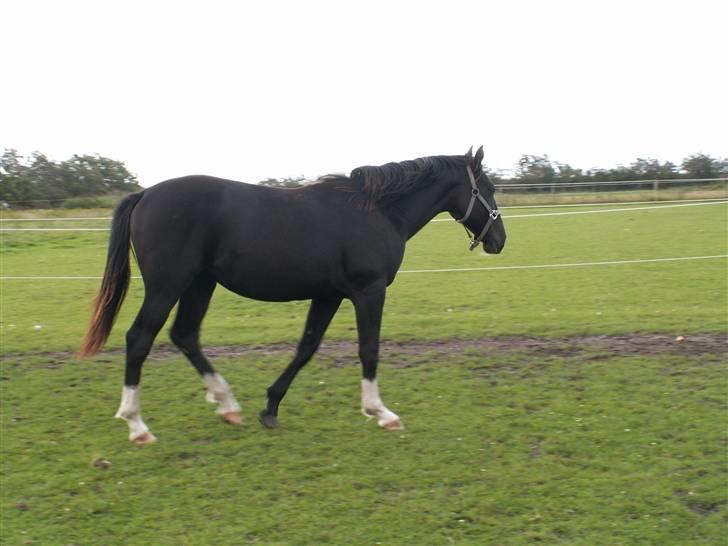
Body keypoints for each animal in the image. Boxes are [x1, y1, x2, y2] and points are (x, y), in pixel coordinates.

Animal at [82, 146, 506, 442]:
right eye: (487, 188)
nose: (499, 241)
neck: (378, 213)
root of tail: (145, 194)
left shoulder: (329, 295)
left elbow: (306, 348)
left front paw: (270, 406)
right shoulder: (368, 292)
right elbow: (369, 350)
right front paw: (381, 412)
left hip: (200, 284)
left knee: (185, 335)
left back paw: (227, 405)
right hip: (168, 285)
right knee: (140, 338)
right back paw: (137, 425)